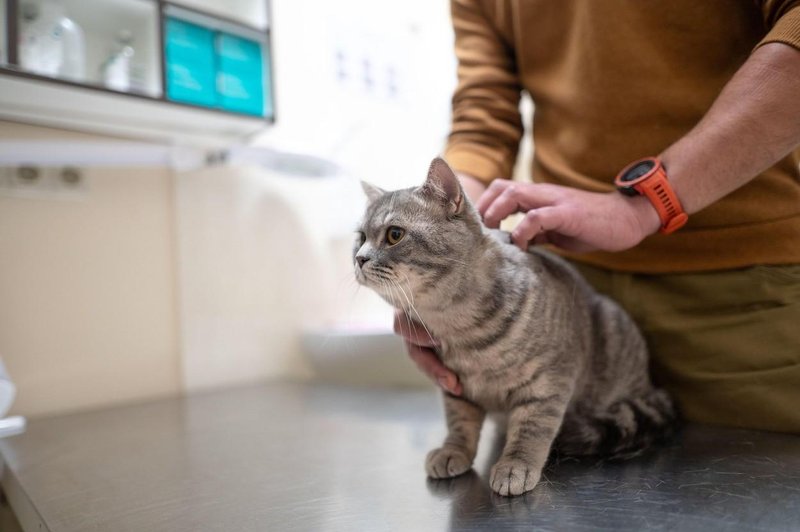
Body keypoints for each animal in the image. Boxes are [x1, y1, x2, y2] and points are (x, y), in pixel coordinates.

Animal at [356, 156, 676, 496]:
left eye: (394, 234)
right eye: (360, 238)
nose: (359, 259)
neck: (454, 325)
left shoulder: (548, 383)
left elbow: (531, 429)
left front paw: (515, 465)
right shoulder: (455, 388)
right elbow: (460, 424)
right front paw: (454, 451)